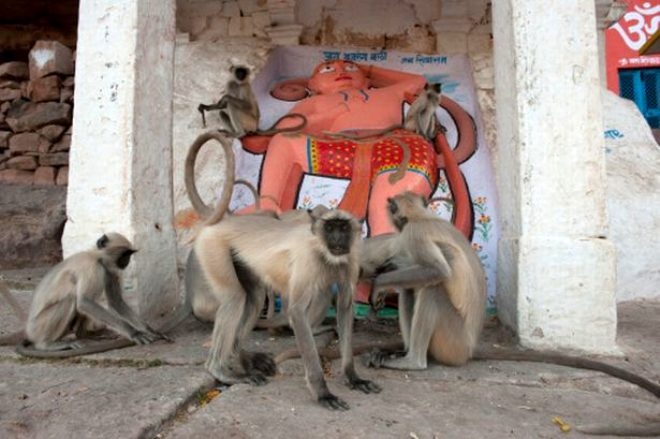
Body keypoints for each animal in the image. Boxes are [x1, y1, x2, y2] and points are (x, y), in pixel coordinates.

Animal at [0, 234, 170, 358]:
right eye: (125, 255)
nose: (127, 262)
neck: (96, 256)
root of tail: (28, 327)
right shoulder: (93, 267)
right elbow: (84, 302)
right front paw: (134, 333)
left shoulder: (107, 270)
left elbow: (116, 302)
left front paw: (150, 330)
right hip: (40, 326)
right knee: (72, 298)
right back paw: (45, 345)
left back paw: (86, 335)